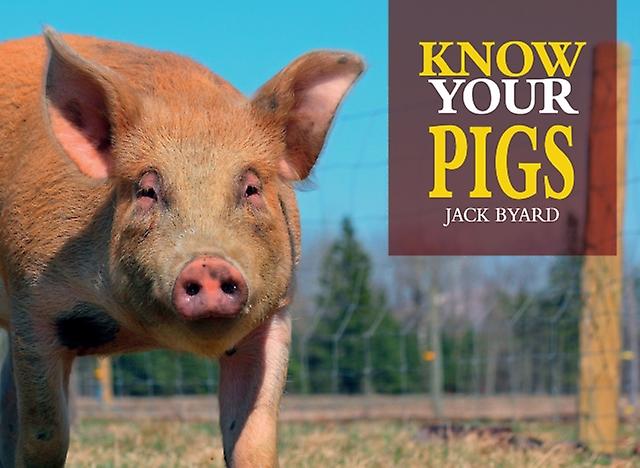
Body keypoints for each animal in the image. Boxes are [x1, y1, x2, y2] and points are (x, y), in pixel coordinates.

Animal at [0, 28, 363, 467]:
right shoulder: (31, 301)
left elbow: (254, 437)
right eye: (147, 191)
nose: (207, 264)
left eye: (251, 188)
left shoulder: (277, 314)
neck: (137, 333)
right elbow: (45, 434)